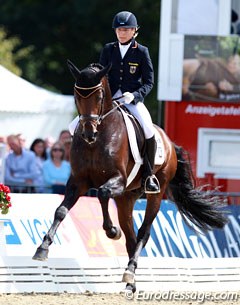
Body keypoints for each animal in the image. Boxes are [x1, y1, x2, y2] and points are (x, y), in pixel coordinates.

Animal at [32, 60, 228, 292]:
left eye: (99, 97)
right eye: (77, 96)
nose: (88, 133)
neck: (98, 138)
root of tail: (169, 142)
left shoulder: (117, 179)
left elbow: (102, 193)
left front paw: (111, 230)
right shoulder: (78, 182)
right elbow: (61, 210)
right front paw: (42, 248)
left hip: (156, 192)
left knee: (143, 231)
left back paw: (129, 271)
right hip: (126, 198)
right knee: (131, 237)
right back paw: (130, 279)